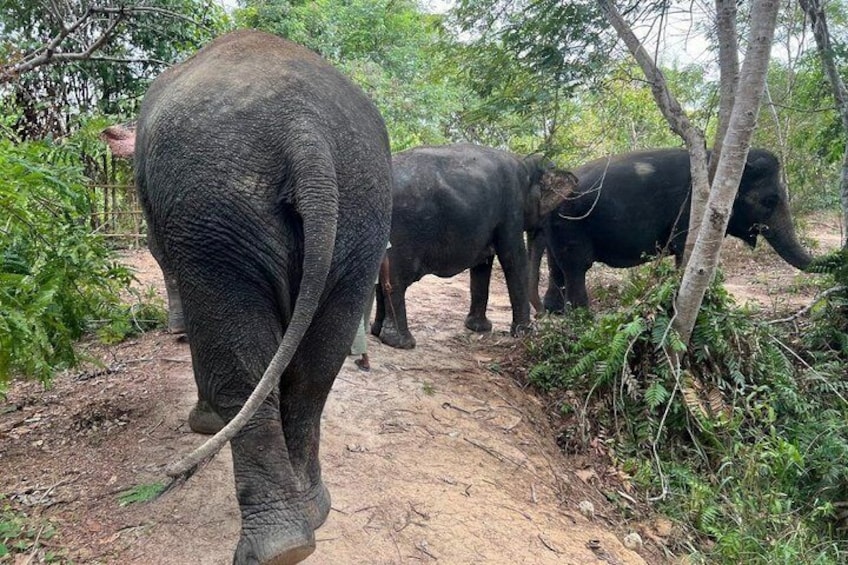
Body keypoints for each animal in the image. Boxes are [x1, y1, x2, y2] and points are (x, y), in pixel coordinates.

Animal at [120, 30, 392, 564]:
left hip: (211, 212)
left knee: (239, 357)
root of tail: (305, 129)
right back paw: (312, 514)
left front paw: (202, 425)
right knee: (316, 372)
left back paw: (277, 547)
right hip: (363, 209)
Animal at [371, 143, 577, 349]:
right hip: (403, 232)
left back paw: (377, 332)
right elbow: (513, 258)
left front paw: (479, 328)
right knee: (397, 279)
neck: (526, 164)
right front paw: (525, 333)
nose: (541, 316)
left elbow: (483, 264)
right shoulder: (511, 208)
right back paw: (402, 342)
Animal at [531, 147, 813, 312]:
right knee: (577, 266)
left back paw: (555, 312)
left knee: (558, 267)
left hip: (557, 227)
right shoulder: (691, 208)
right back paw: (583, 317)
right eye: (770, 201)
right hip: (570, 222)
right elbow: (683, 248)